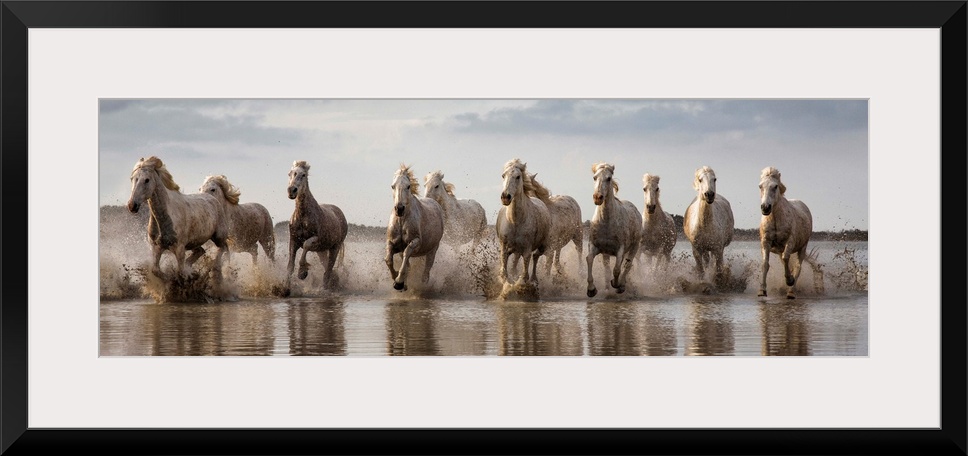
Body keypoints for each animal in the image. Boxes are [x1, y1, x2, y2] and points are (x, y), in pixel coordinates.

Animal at [286, 160, 350, 296]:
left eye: (303, 174)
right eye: (290, 173)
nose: (291, 190)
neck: (303, 215)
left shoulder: (316, 239)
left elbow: (305, 245)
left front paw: (302, 272)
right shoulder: (293, 241)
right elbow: (290, 266)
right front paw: (284, 289)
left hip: (335, 247)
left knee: (329, 269)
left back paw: (325, 288)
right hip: (321, 250)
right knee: (327, 267)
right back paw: (335, 281)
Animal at [584, 162, 644, 298]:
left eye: (609, 178)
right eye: (594, 177)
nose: (597, 197)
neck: (606, 222)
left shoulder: (620, 249)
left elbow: (617, 269)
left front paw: (616, 284)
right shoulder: (595, 246)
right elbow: (589, 260)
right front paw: (591, 289)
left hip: (634, 247)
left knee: (627, 265)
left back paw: (621, 286)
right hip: (606, 253)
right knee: (608, 268)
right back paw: (608, 287)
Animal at [760, 167, 812, 300]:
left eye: (775, 186)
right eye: (760, 186)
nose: (765, 208)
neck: (775, 219)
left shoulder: (790, 242)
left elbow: (786, 258)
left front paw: (790, 280)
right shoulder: (766, 242)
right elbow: (765, 264)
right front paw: (762, 290)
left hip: (803, 247)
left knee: (798, 267)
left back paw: (791, 292)